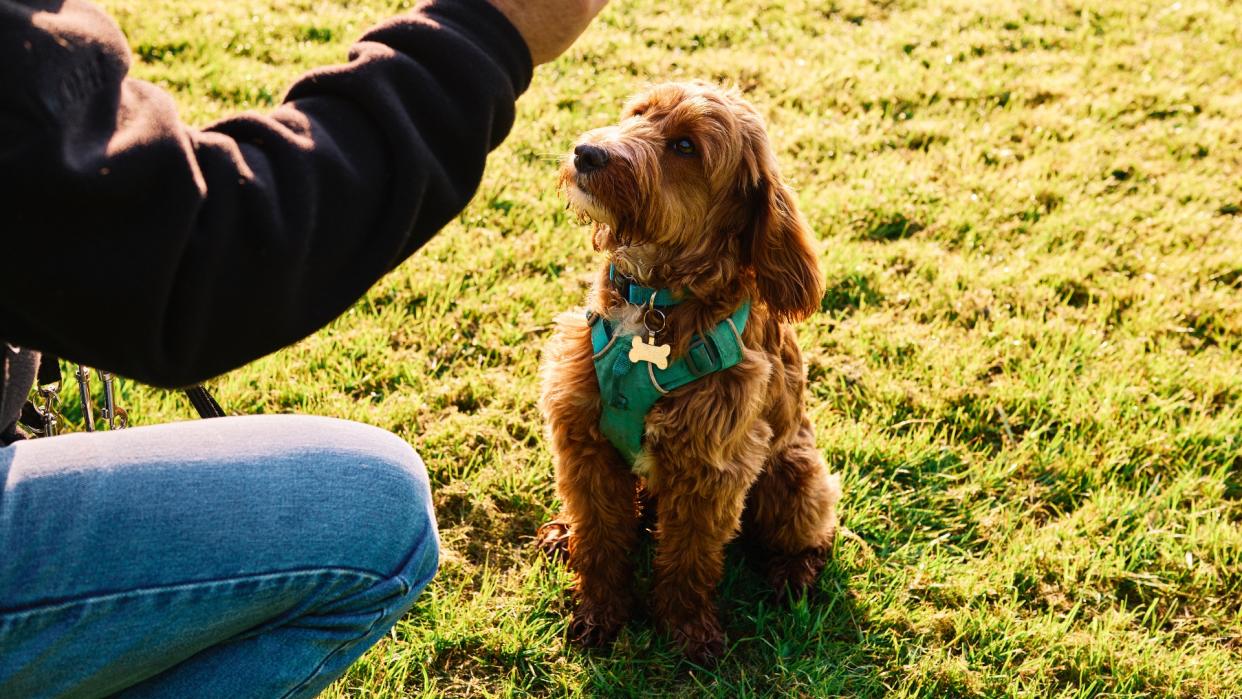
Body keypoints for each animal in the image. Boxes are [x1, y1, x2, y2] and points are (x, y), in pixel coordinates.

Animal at [536, 81, 844, 665]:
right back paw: (564, 533)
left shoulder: (711, 468)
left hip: (795, 476)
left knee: (813, 533)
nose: (586, 152)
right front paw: (599, 613)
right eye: (637, 114)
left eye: (685, 147)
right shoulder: (584, 441)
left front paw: (688, 631)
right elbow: (602, 538)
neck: (654, 300)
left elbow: (689, 558)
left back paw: (793, 574)